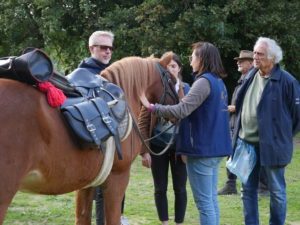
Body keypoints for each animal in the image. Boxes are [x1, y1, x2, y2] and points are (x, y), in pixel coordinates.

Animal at [0, 53, 176, 224]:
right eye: (172, 80)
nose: (179, 103)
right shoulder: (118, 178)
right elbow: (113, 219)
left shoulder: (86, 182)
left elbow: (83, 217)